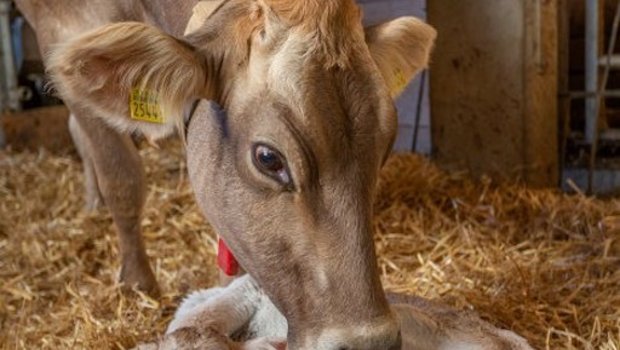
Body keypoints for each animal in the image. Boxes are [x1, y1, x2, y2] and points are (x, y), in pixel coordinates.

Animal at [13, 1, 432, 348]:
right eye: (268, 158)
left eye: (386, 146)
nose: (370, 343)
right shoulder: (61, 27)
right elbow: (122, 179)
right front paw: (136, 284)